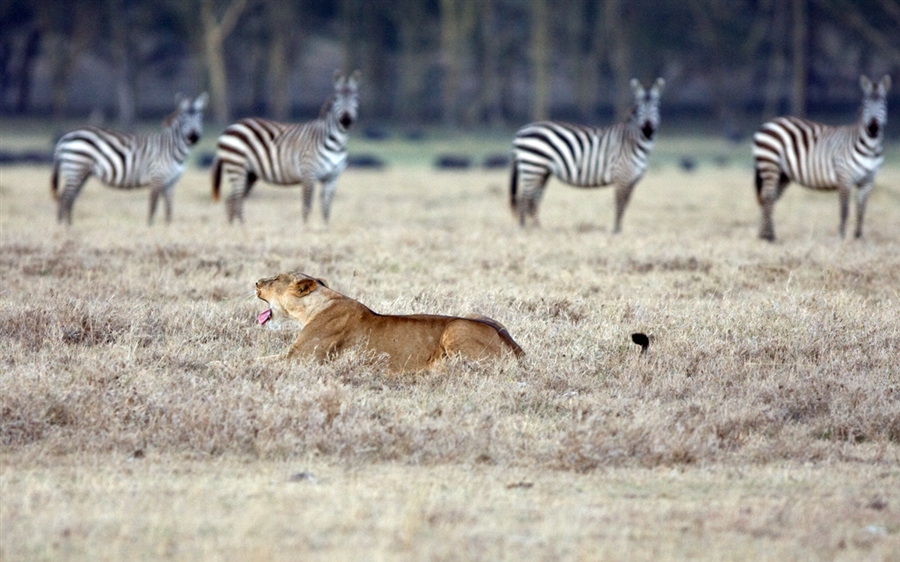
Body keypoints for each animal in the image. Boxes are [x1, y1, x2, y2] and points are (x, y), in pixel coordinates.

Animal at [51, 93, 209, 224]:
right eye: (184, 118)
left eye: (200, 117)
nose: (194, 137)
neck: (172, 148)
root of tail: (64, 138)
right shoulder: (157, 177)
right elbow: (153, 205)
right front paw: (150, 227)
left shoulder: (170, 182)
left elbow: (169, 208)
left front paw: (168, 226)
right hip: (76, 167)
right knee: (64, 197)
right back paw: (62, 226)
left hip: (82, 172)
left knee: (70, 198)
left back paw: (69, 225)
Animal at [213, 71, 360, 224]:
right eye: (337, 98)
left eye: (356, 98)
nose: (346, 120)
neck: (337, 143)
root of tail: (230, 127)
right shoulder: (309, 174)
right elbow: (307, 205)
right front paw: (306, 228)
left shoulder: (332, 178)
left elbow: (326, 208)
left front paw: (326, 228)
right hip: (237, 166)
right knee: (236, 199)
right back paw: (243, 228)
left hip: (250, 173)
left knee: (232, 200)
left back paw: (236, 228)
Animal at [510, 77, 664, 231]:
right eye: (639, 107)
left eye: (656, 106)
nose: (647, 129)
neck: (633, 142)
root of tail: (521, 131)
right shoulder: (622, 175)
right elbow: (620, 203)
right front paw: (616, 230)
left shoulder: (632, 180)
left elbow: (625, 203)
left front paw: (618, 229)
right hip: (533, 166)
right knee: (524, 198)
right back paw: (523, 228)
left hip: (542, 171)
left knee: (533, 199)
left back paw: (537, 228)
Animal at [752, 73, 892, 240]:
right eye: (864, 105)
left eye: (883, 104)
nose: (873, 128)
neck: (870, 148)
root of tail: (768, 123)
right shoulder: (844, 177)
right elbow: (844, 209)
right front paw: (841, 237)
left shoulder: (868, 181)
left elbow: (861, 210)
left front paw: (858, 237)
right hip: (770, 163)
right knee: (767, 197)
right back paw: (767, 236)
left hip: (783, 173)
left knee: (771, 197)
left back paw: (765, 234)